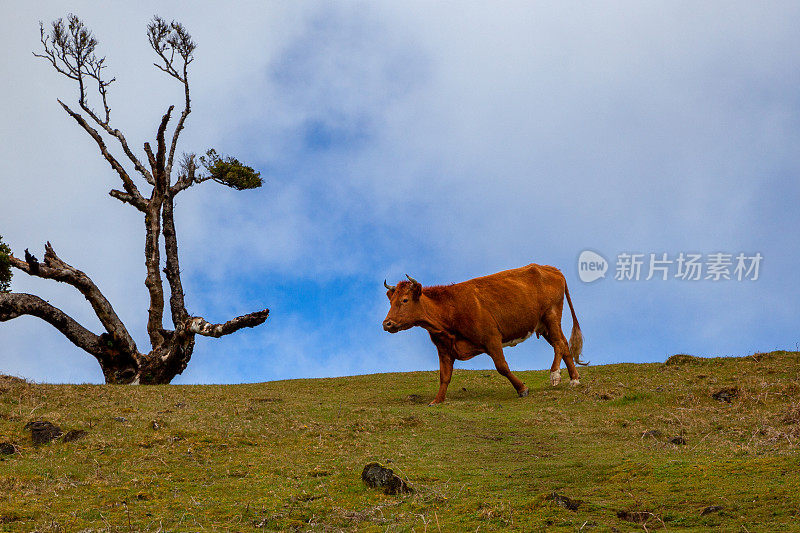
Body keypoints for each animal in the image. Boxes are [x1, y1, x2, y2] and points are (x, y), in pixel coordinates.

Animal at [382, 264, 588, 406]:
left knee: (559, 344)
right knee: (563, 344)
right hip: (543, 324)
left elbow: (502, 367)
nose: (387, 324)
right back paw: (574, 379)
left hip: (551, 315)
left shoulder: (491, 338)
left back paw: (555, 375)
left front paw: (522, 389)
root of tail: (551, 269)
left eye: (405, 300)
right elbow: (444, 376)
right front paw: (437, 400)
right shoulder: (444, 349)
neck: (449, 310)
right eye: (390, 301)